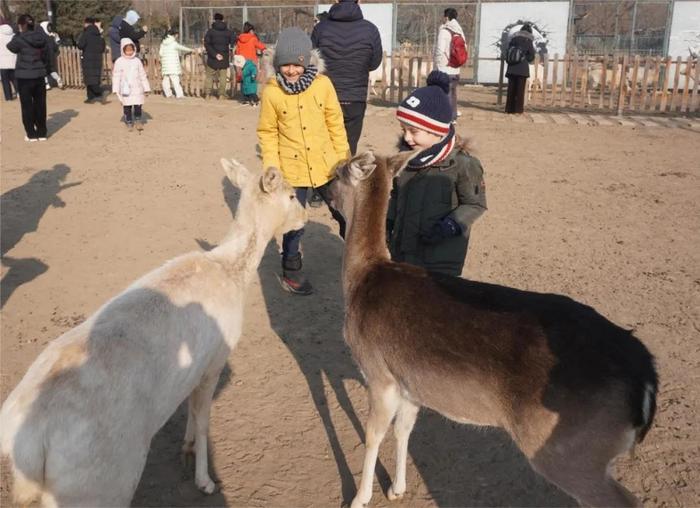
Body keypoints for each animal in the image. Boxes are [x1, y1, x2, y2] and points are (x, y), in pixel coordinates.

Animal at [328, 149, 656, 506]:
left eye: (337, 173)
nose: (319, 189)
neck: (361, 279)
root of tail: (646, 378)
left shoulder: (378, 374)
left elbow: (373, 435)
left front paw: (359, 498)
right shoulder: (410, 383)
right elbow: (404, 430)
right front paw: (396, 489)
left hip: (568, 452)